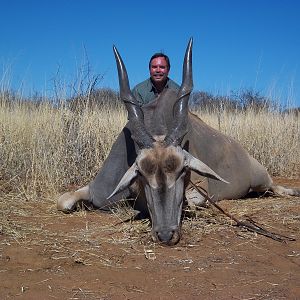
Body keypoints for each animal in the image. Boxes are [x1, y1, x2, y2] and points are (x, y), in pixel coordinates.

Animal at [57, 38, 298, 246]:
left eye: (182, 171)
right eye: (142, 174)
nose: (166, 235)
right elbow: (63, 202)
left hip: (261, 181)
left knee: (273, 187)